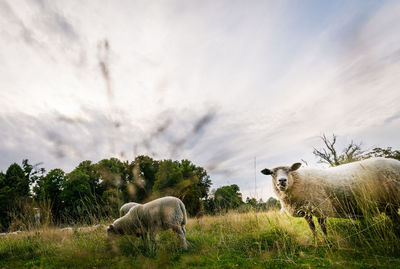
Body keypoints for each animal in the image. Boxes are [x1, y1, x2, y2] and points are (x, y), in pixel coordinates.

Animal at [260, 157, 400, 234]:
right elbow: (312, 229)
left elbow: (323, 229)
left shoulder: (320, 208)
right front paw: (317, 243)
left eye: (289, 170)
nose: (282, 181)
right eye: (272, 173)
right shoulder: (306, 212)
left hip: (391, 201)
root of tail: (396, 162)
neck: (299, 180)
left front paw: (328, 244)